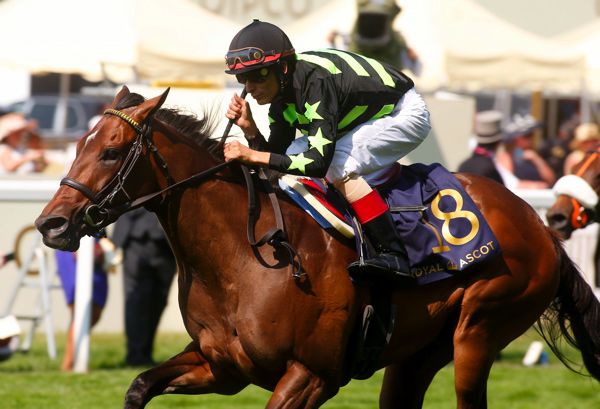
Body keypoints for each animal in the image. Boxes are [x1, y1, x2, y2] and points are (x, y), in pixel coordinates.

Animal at [36, 87, 600, 408]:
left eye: (111, 152)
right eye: (79, 143)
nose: (51, 223)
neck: (241, 257)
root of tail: (539, 226)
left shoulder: (310, 375)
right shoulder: (220, 367)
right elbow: (139, 386)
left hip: (480, 329)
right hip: (416, 355)